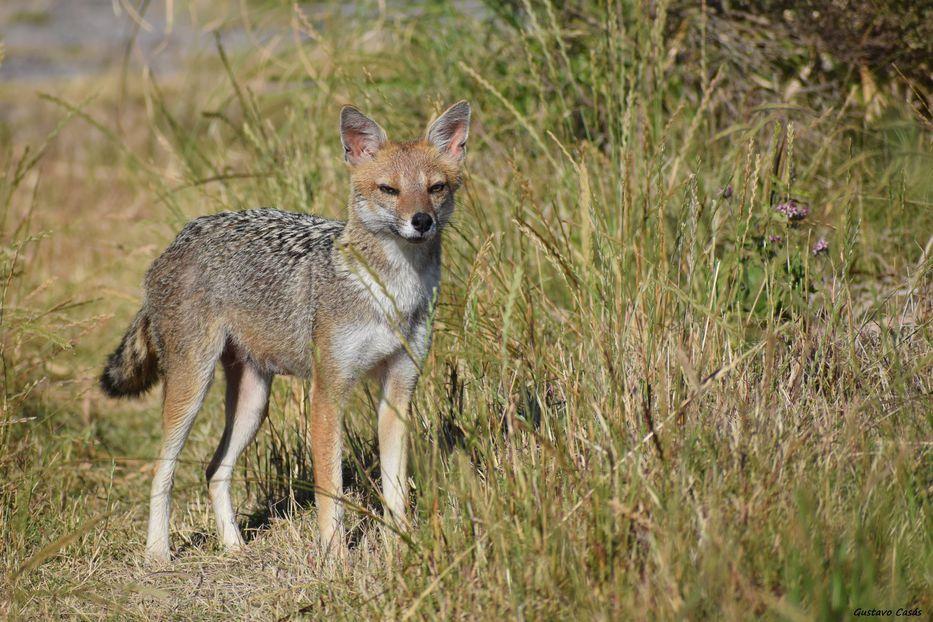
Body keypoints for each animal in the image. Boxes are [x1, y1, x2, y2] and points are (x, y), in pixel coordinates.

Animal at [100, 100, 474, 564]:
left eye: (435, 188)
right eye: (390, 189)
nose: (421, 221)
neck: (390, 295)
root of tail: (179, 238)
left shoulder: (399, 390)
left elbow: (396, 492)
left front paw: (402, 550)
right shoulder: (327, 392)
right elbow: (331, 491)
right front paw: (336, 561)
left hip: (253, 404)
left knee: (214, 469)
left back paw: (234, 546)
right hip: (191, 389)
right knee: (161, 469)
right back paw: (158, 553)